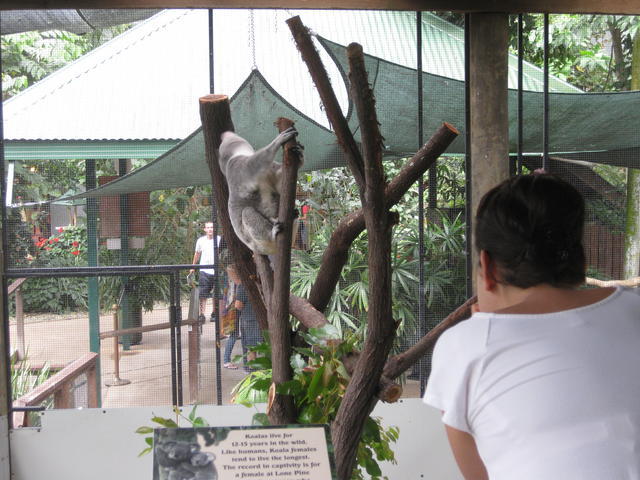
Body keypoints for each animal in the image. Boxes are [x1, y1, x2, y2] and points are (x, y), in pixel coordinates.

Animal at [218, 127, 301, 255]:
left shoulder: (271, 171)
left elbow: (280, 182)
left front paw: (299, 154)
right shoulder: (240, 168)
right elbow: (255, 164)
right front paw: (281, 138)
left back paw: (294, 215)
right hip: (254, 240)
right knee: (248, 213)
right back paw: (274, 232)